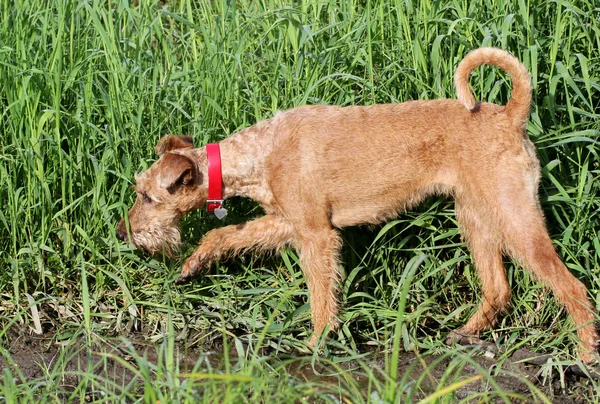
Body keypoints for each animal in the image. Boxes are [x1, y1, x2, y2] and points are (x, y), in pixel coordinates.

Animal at [116, 48, 596, 362]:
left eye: (147, 195)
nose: (122, 232)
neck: (261, 153)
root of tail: (511, 115)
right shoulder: (289, 221)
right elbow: (224, 233)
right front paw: (192, 265)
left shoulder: (316, 236)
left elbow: (320, 296)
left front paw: (315, 345)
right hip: (475, 217)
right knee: (498, 289)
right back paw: (465, 333)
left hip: (515, 216)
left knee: (570, 285)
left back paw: (586, 352)